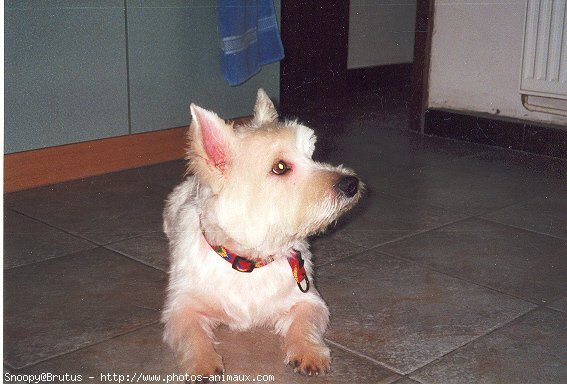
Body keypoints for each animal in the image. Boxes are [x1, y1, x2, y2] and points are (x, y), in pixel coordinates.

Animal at [162, 89, 362, 378]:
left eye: (311, 154)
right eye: (280, 167)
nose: (351, 184)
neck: (248, 261)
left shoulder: (309, 300)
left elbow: (304, 325)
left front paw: (309, 352)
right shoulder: (181, 307)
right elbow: (192, 335)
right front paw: (202, 364)